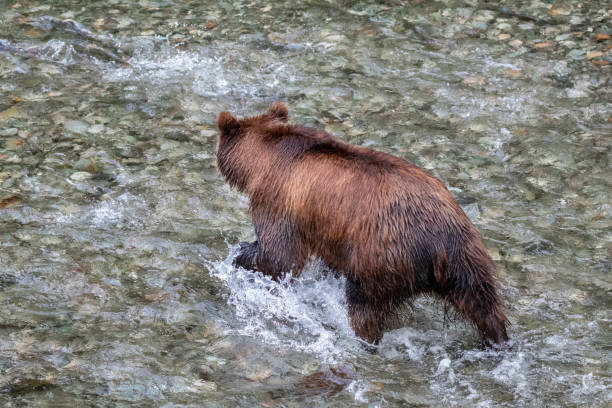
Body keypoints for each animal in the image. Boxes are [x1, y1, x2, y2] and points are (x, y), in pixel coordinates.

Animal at [218, 102, 510, 348]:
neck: (264, 158)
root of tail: (439, 245)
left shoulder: (278, 199)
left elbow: (279, 256)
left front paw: (241, 254)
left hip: (382, 257)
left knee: (365, 306)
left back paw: (363, 339)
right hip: (467, 254)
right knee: (483, 304)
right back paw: (497, 341)